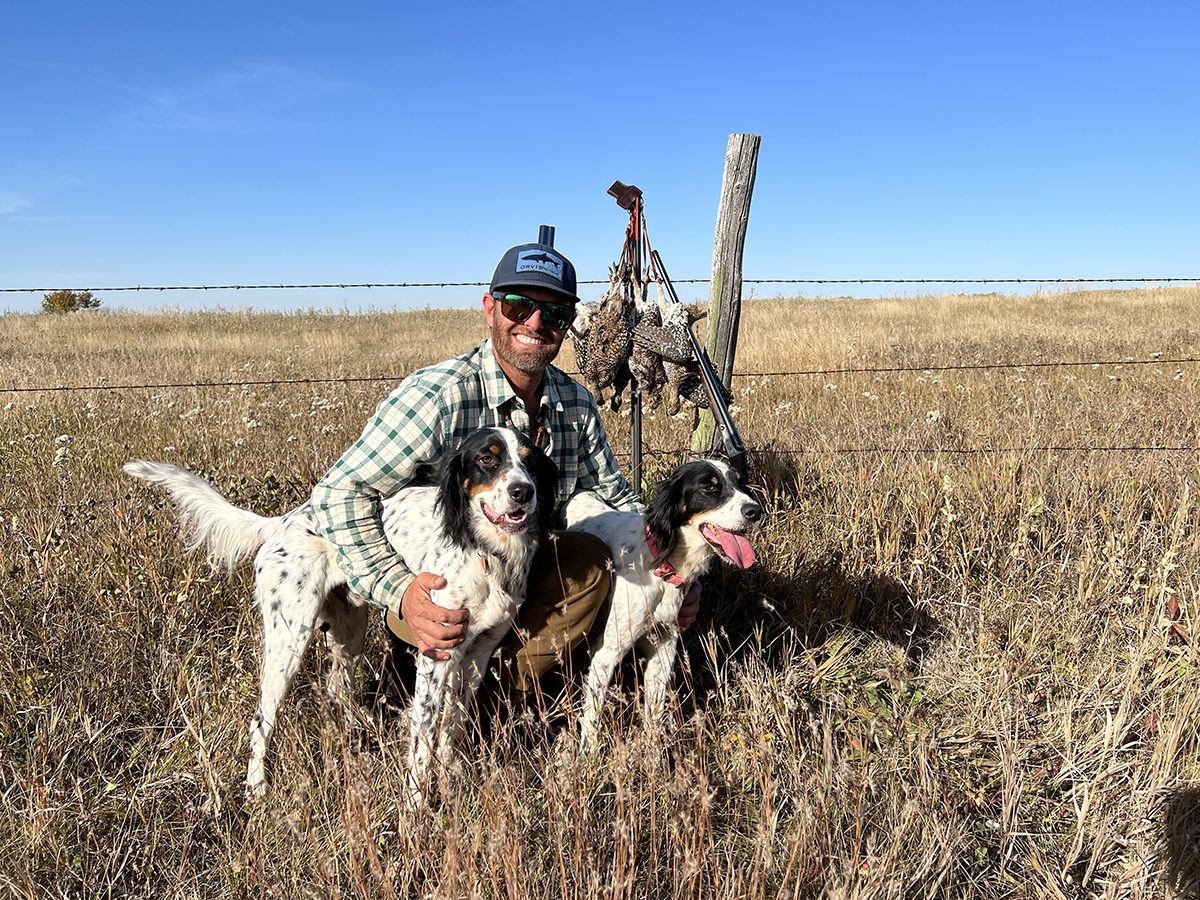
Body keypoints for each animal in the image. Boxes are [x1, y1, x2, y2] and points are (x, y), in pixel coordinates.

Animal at [121, 429, 552, 801]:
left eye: (530, 460)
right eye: (486, 459)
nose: (523, 491)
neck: (488, 552)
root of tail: (282, 522)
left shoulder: (479, 653)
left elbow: (452, 727)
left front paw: (453, 782)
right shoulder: (437, 652)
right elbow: (422, 742)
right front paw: (415, 812)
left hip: (349, 632)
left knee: (334, 695)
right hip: (288, 641)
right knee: (261, 721)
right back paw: (257, 791)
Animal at [561, 458, 758, 753]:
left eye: (739, 481)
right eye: (709, 488)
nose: (755, 510)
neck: (662, 564)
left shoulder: (665, 646)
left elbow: (654, 710)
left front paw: (656, 750)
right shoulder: (607, 652)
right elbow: (593, 714)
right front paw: (589, 754)